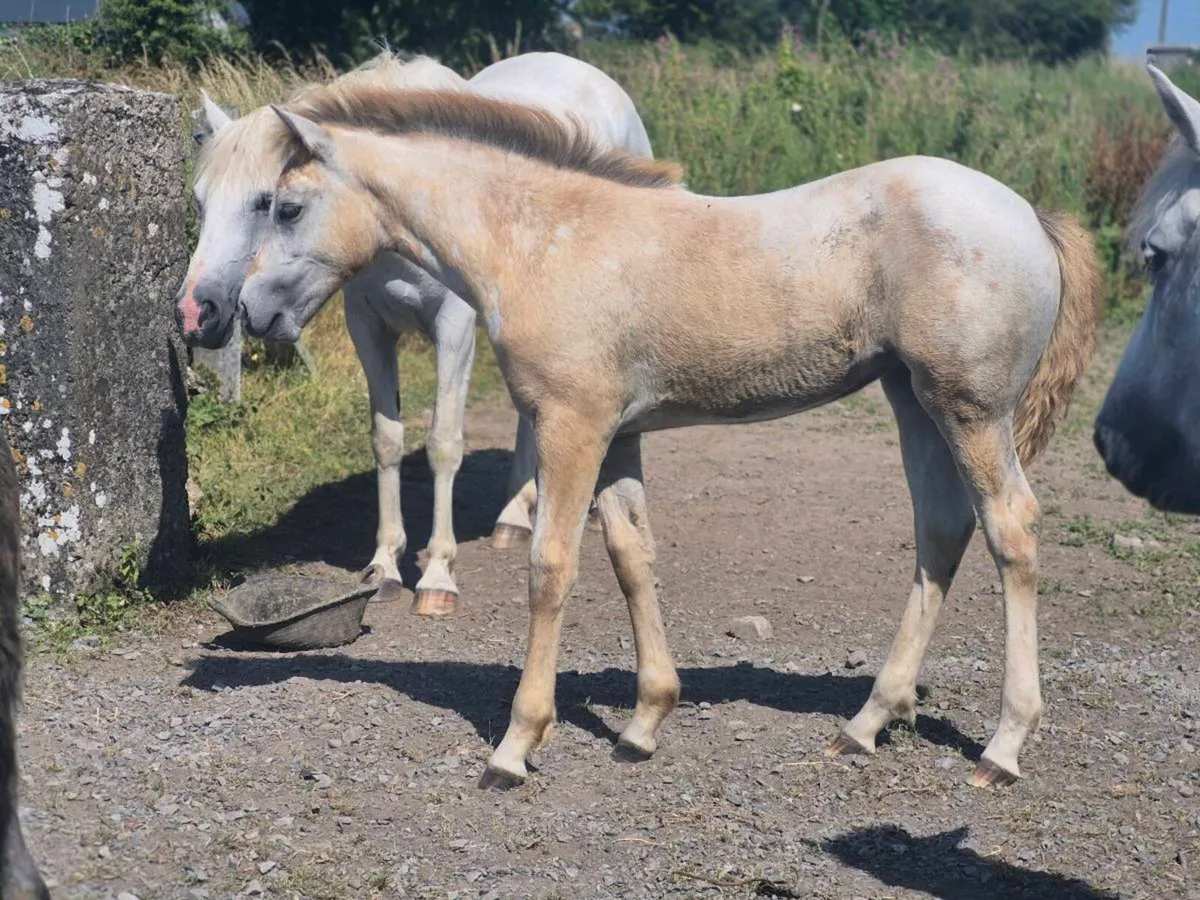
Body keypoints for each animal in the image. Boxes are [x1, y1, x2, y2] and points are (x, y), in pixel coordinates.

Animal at [182, 50, 652, 614]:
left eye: (269, 202)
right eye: (200, 201)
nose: (197, 311)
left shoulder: (454, 328)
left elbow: (443, 444)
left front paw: (438, 576)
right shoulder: (368, 328)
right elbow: (386, 439)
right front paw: (385, 565)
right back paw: (514, 516)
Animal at [229, 81, 1103, 790]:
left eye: (285, 206)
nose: (249, 312)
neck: (545, 238)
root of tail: (1029, 215)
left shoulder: (572, 426)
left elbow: (551, 567)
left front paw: (516, 744)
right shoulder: (618, 433)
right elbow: (630, 555)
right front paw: (645, 723)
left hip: (970, 410)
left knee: (1011, 530)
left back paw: (1003, 746)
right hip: (912, 401)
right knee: (941, 532)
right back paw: (865, 724)